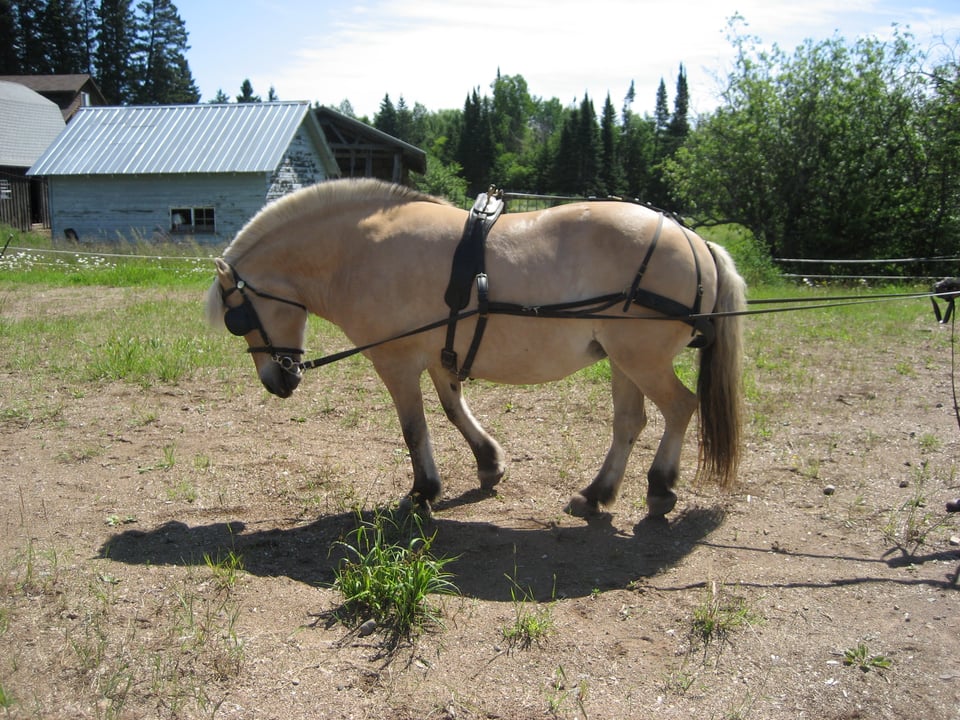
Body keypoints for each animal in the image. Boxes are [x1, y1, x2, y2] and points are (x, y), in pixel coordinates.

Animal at [205, 178, 746, 517]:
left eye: (238, 318)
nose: (278, 380)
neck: (359, 252)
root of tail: (696, 241)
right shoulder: (439, 353)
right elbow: (452, 409)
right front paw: (489, 462)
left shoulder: (396, 361)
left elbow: (414, 428)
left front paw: (423, 491)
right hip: (622, 360)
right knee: (630, 423)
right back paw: (597, 494)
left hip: (641, 359)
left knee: (681, 407)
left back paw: (660, 487)